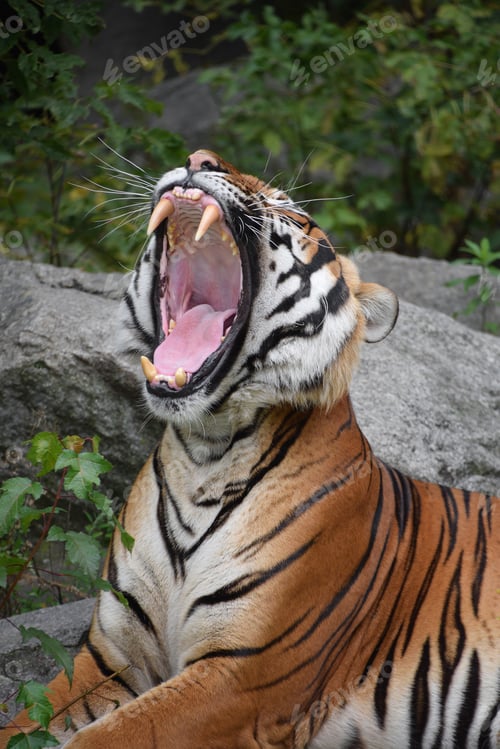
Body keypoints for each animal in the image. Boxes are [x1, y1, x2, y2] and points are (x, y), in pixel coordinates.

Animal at [1, 149, 499, 749]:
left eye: (290, 208)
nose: (200, 158)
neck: (205, 450)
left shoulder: (240, 679)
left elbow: (108, 737)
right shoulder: (111, 656)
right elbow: (23, 721)